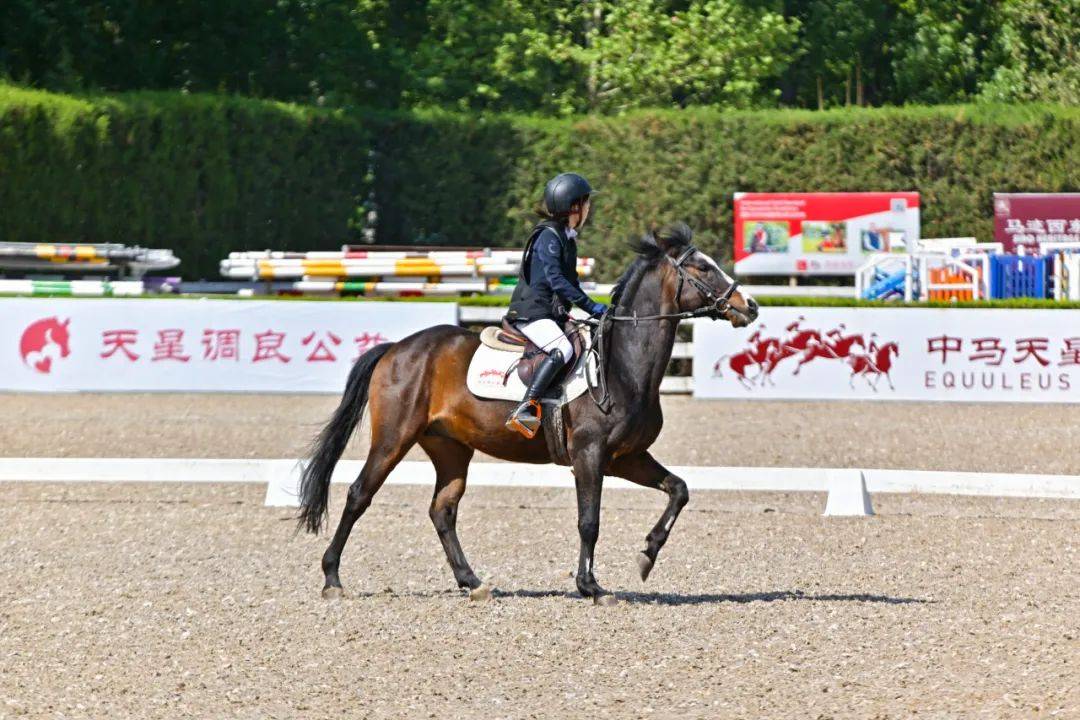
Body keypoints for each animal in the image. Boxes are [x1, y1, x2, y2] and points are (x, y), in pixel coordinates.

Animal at [297, 223, 759, 605]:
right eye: (702, 267)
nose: (750, 306)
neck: (624, 366)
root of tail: (396, 348)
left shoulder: (625, 457)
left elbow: (679, 489)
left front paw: (647, 554)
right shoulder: (589, 456)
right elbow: (589, 521)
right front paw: (591, 587)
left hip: (450, 448)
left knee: (443, 510)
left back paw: (473, 582)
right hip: (394, 438)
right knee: (360, 495)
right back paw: (332, 579)